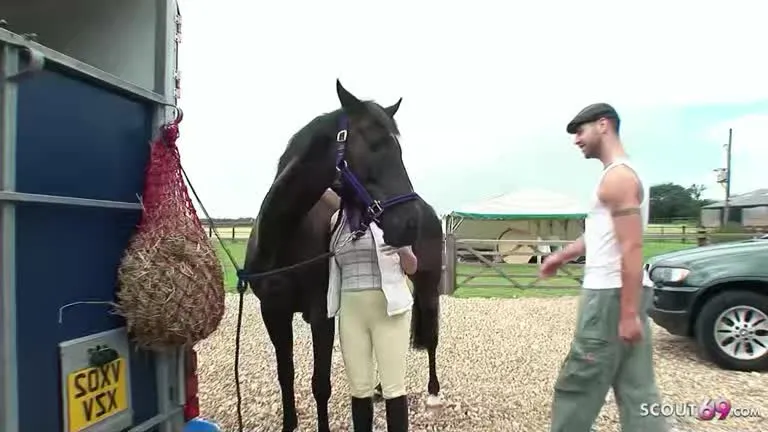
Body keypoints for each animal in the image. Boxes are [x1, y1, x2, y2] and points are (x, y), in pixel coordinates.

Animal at [243, 80, 441, 432]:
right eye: (375, 144)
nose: (409, 223)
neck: (284, 237)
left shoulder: (320, 315)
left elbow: (320, 384)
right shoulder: (273, 313)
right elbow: (285, 375)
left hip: (428, 284)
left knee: (431, 337)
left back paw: (433, 393)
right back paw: (380, 389)